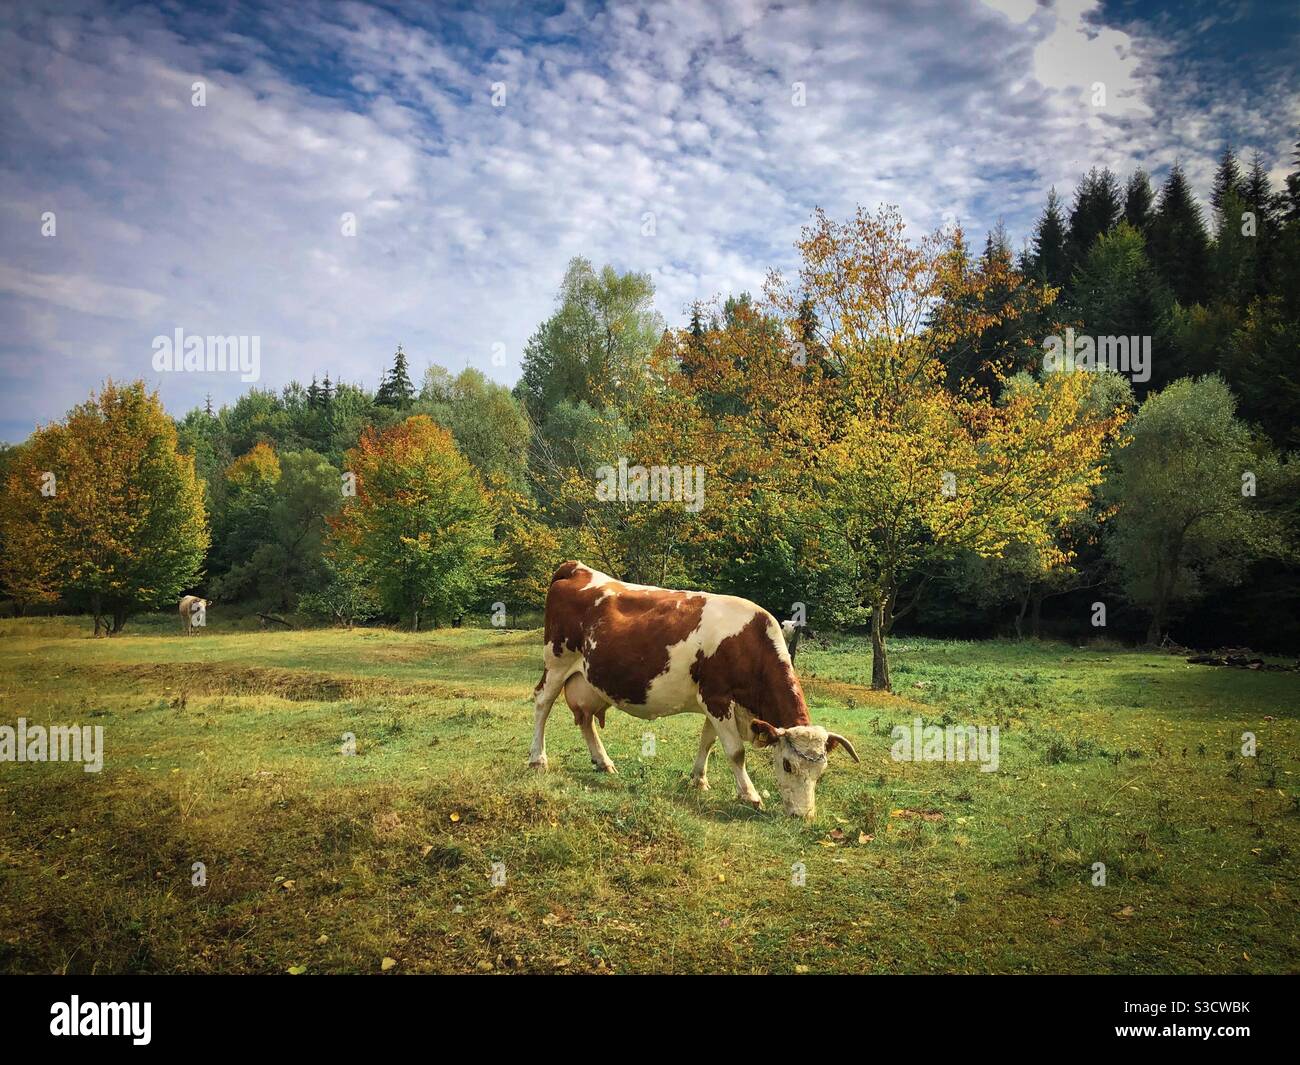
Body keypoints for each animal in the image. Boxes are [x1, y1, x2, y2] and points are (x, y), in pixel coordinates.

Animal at [530, 562, 858, 819]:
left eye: (821, 771)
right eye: (788, 766)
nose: (803, 815)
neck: (749, 644)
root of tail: (578, 568)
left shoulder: (718, 702)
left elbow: (707, 741)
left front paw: (698, 779)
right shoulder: (717, 698)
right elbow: (735, 751)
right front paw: (750, 795)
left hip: (589, 681)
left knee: (585, 719)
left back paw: (603, 761)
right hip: (557, 662)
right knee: (543, 704)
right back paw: (538, 759)